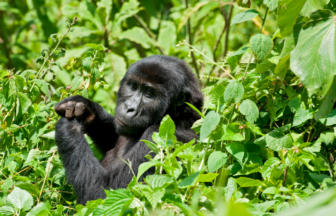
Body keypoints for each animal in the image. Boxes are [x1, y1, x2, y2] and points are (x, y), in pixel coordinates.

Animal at [53, 55, 203, 204]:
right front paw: (86, 109)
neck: (180, 117)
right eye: (133, 86)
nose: (129, 107)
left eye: (149, 93)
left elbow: (107, 194)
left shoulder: (160, 138)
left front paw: (70, 127)